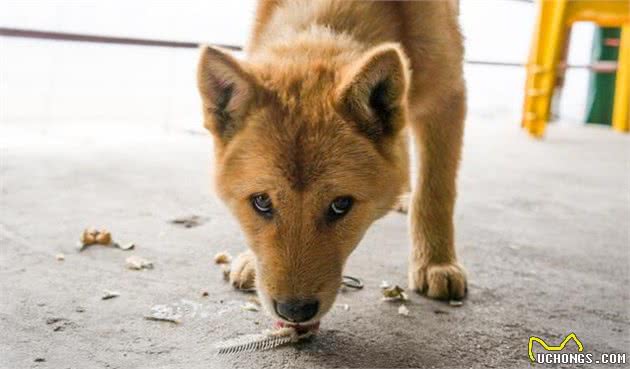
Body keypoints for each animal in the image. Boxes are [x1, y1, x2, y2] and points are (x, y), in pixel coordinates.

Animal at [198, 1, 470, 326]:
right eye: (261, 202)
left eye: (341, 205)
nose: (294, 312)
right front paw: (252, 260)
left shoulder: (448, 98)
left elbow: (434, 193)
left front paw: (435, 263)